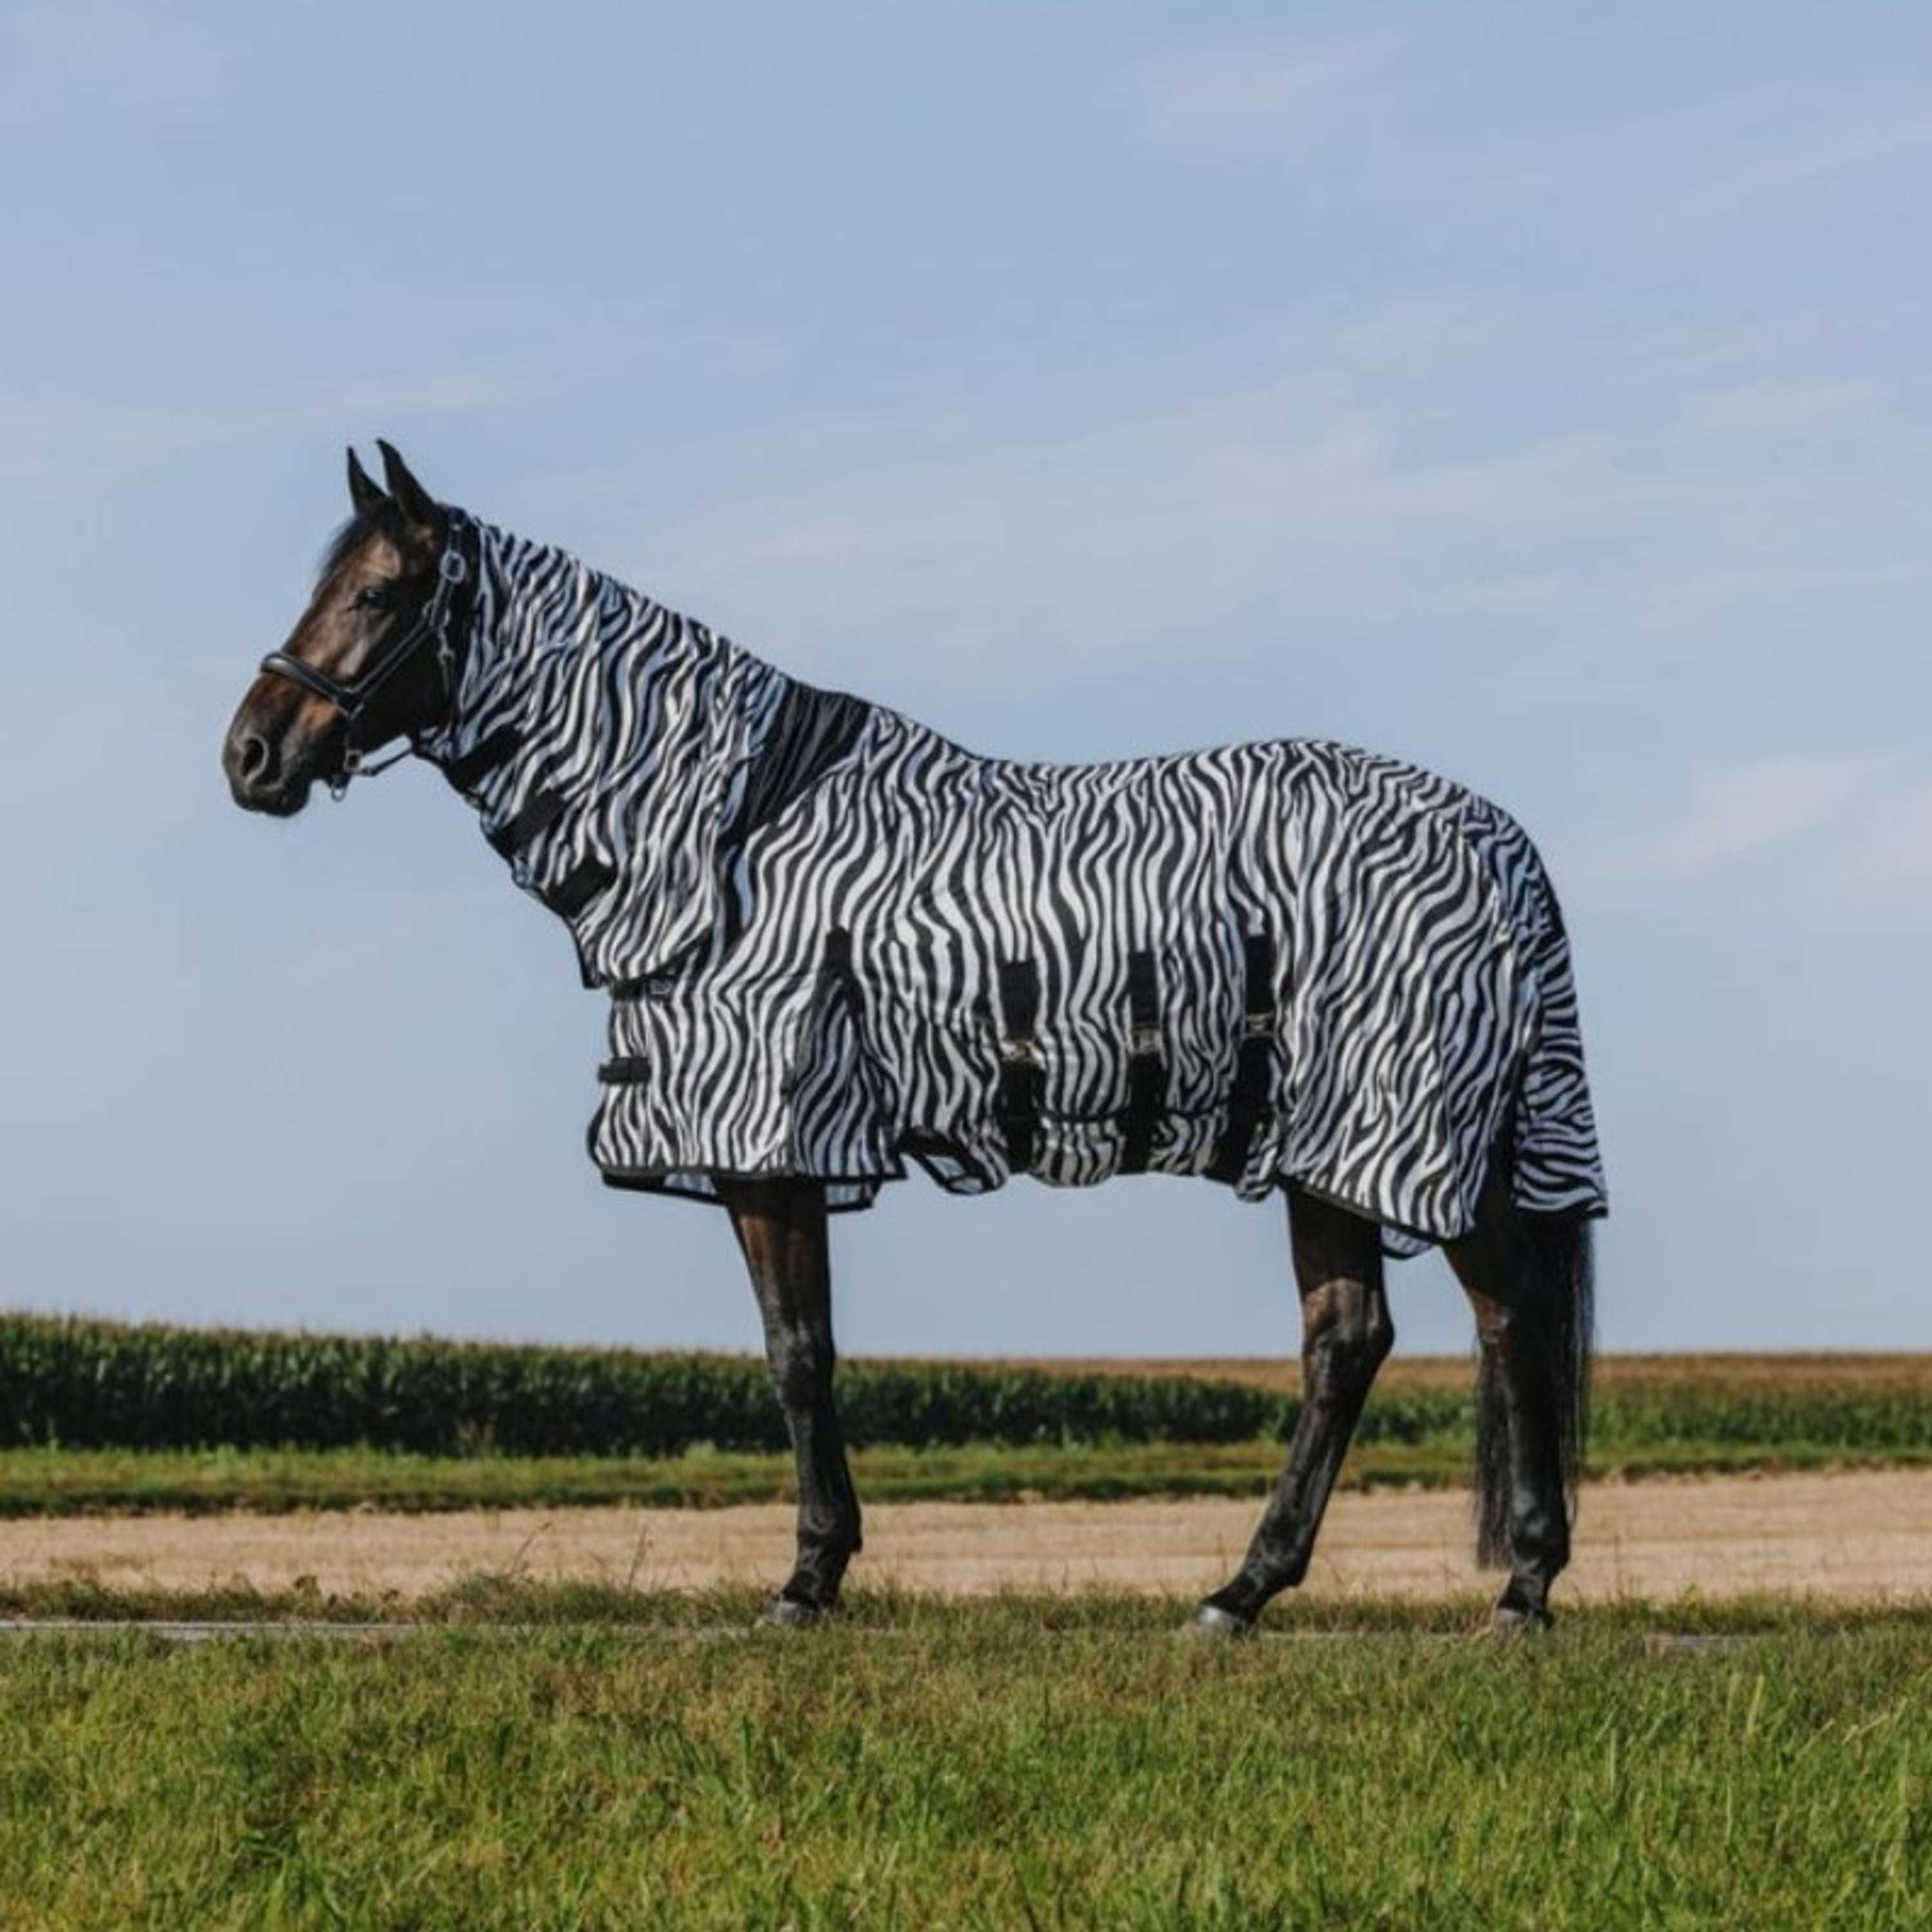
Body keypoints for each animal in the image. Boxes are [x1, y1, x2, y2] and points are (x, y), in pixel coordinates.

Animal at [223, 441, 1607, 1635]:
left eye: (376, 591)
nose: (251, 755)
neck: (730, 832)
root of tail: (1501, 840)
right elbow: (809, 1351)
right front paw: (821, 1568)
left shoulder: (773, 1143)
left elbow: (799, 1356)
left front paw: (807, 1580)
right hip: (1338, 1149)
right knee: (1357, 1340)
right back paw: (1256, 1591)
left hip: (1394, 1132)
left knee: (1496, 1322)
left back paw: (1510, 1590)